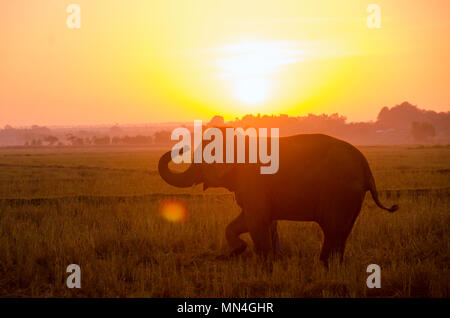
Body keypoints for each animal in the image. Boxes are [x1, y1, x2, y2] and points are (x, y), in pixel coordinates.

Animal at [157, 133, 398, 264]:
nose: (182, 146)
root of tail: (366, 168)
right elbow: (249, 221)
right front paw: (238, 251)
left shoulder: (254, 182)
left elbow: (256, 220)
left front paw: (265, 266)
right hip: (350, 197)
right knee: (342, 231)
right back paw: (331, 265)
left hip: (340, 192)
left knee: (333, 229)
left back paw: (325, 264)